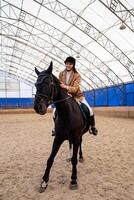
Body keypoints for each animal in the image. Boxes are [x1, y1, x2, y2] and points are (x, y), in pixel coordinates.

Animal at [34, 61, 89, 192]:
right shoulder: (58, 138)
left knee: (80, 144)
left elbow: (74, 160)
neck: (66, 113)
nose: (38, 107)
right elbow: (50, 159)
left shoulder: (76, 137)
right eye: (35, 84)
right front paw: (44, 182)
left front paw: (73, 180)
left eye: (48, 83)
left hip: (80, 135)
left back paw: (81, 156)